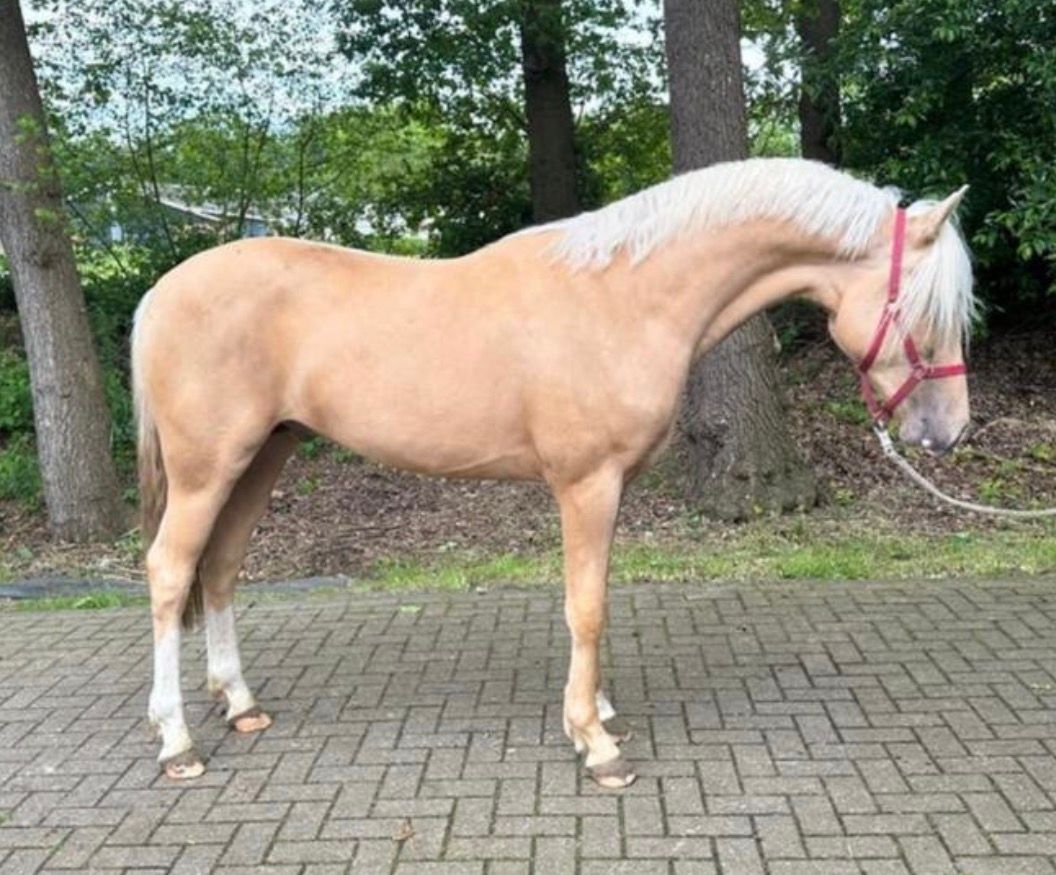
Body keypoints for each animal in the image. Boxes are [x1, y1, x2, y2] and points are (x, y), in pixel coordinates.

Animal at [132, 157, 976, 788]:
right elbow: (586, 607)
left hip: (263, 455)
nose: (948, 431)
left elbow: (596, 597)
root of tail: (159, 293)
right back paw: (176, 741)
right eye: (924, 309)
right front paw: (594, 742)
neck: (625, 298)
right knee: (171, 571)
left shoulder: (613, 487)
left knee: (221, 567)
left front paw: (596, 709)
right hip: (210, 468)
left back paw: (240, 702)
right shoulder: (585, 483)